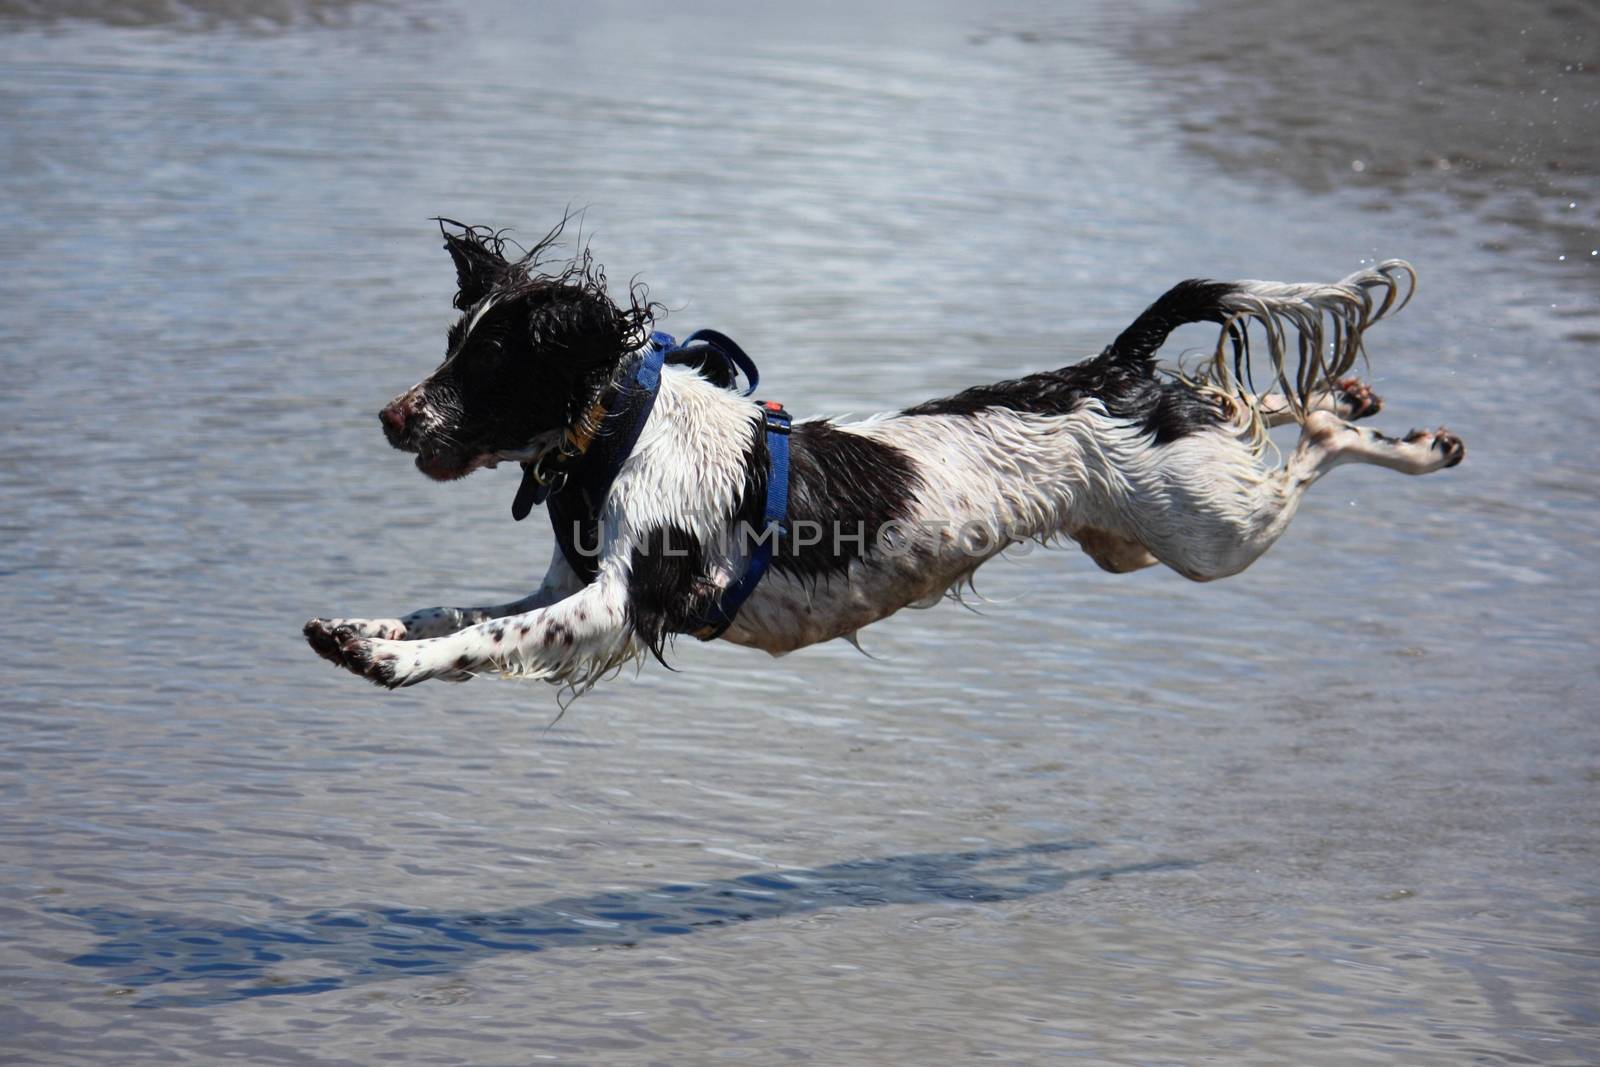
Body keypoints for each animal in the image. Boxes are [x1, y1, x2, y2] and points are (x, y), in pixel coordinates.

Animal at [300, 220, 1465, 697]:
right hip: (1142, 530)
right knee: (1238, 400)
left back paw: (1405, 439)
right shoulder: (568, 581)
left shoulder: (624, 600)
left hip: (1211, 534)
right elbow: (458, 608)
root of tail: (1111, 368)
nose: (394, 417)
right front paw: (363, 630)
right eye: (451, 344)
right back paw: (1347, 396)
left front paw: (392, 663)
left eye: (489, 362)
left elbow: (484, 637)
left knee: (1304, 449)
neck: (614, 435)